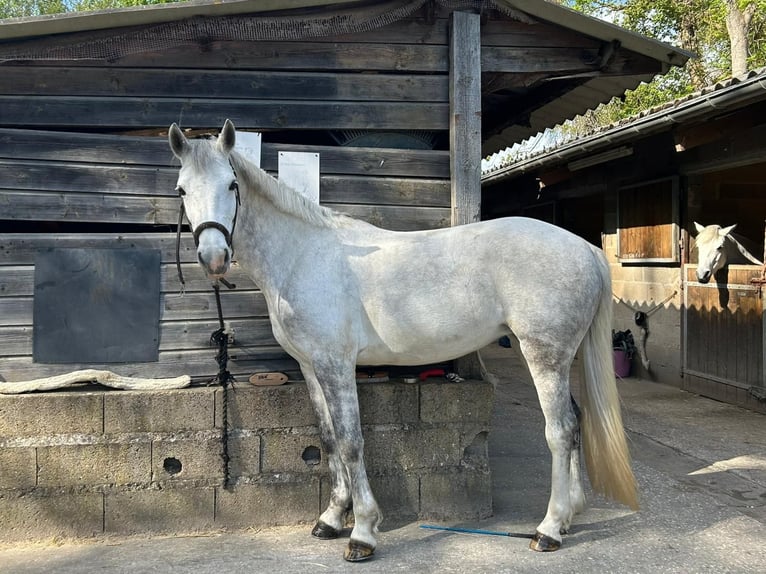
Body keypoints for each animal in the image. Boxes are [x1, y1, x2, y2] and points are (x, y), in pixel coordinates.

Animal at [168, 119, 638, 562]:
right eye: (182, 190)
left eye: (231, 185)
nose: (214, 258)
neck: (302, 255)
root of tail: (586, 249)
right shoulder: (311, 367)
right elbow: (328, 439)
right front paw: (330, 519)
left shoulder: (336, 366)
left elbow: (351, 442)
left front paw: (362, 533)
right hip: (560, 358)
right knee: (575, 422)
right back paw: (571, 514)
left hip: (544, 356)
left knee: (560, 430)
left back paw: (549, 529)